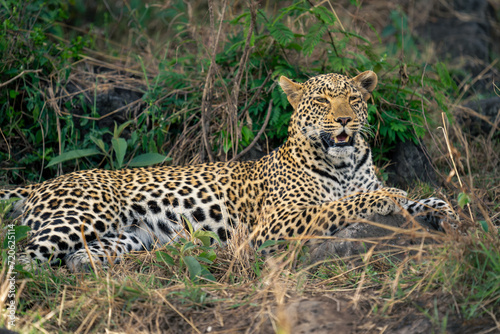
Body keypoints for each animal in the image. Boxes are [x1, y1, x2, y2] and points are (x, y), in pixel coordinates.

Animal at [0, 70, 456, 272]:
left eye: (353, 99)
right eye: (323, 101)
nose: (345, 120)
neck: (343, 163)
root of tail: (44, 182)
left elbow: (427, 197)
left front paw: (447, 214)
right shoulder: (275, 223)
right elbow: (341, 204)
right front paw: (388, 196)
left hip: (127, 235)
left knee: (77, 255)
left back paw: (93, 266)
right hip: (81, 215)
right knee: (21, 257)